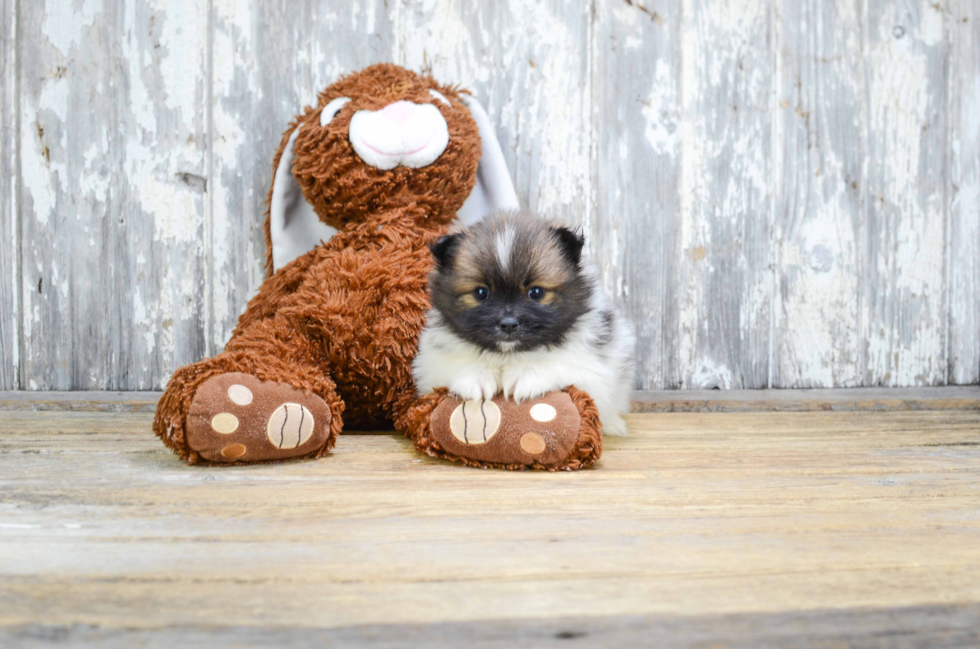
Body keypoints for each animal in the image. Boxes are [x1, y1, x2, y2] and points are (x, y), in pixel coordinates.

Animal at [412, 210, 636, 432]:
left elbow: (561, 361)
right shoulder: (429, 364)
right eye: (481, 293)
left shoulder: (593, 367)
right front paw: (476, 376)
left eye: (535, 292)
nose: (508, 324)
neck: (509, 354)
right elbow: (455, 362)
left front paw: (527, 375)